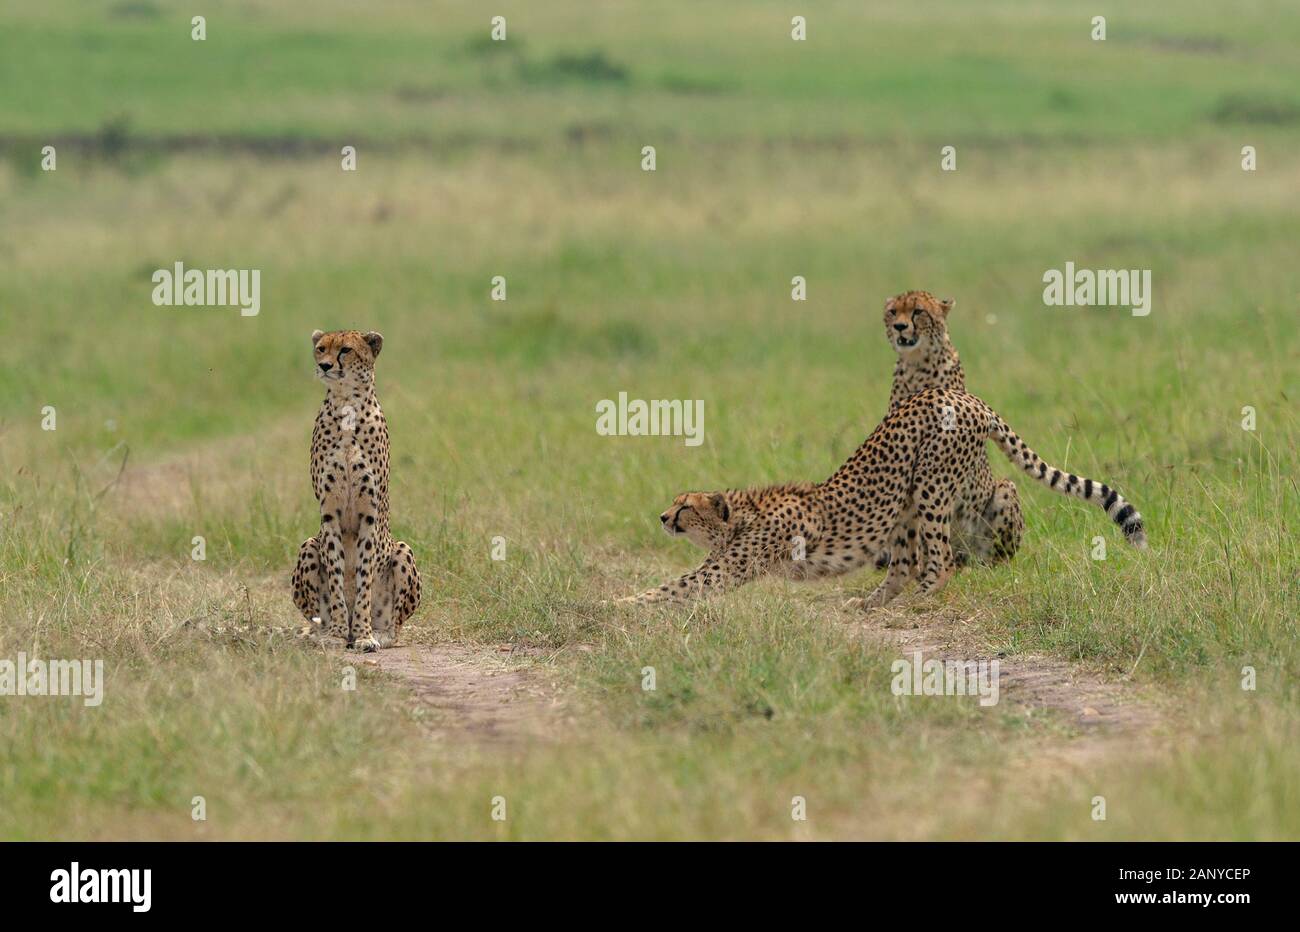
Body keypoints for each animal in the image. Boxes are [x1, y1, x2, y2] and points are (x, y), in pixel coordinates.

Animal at [291, 331, 421, 649]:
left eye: (346, 350)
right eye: (321, 349)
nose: (325, 365)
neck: (346, 404)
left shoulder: (369, 514)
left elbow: (364, 579)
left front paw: (363, 634)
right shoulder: (329, 513)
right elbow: (338, 577)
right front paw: (339, 633)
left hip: (402, 549)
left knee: (395, 625)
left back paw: (379, 633)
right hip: (309, 545)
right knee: (315, 617)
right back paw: (327, 632)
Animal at [616, 384, 1138, 603]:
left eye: (684, 506)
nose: (661, 517)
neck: (741, 516)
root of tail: (966, 397)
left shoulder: (729, 567)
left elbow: (676, 587)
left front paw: (618, 606)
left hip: (931, 486)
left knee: (940, 560)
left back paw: (915, 603)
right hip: (904, 503)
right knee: (904, 564)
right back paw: (873, 602)